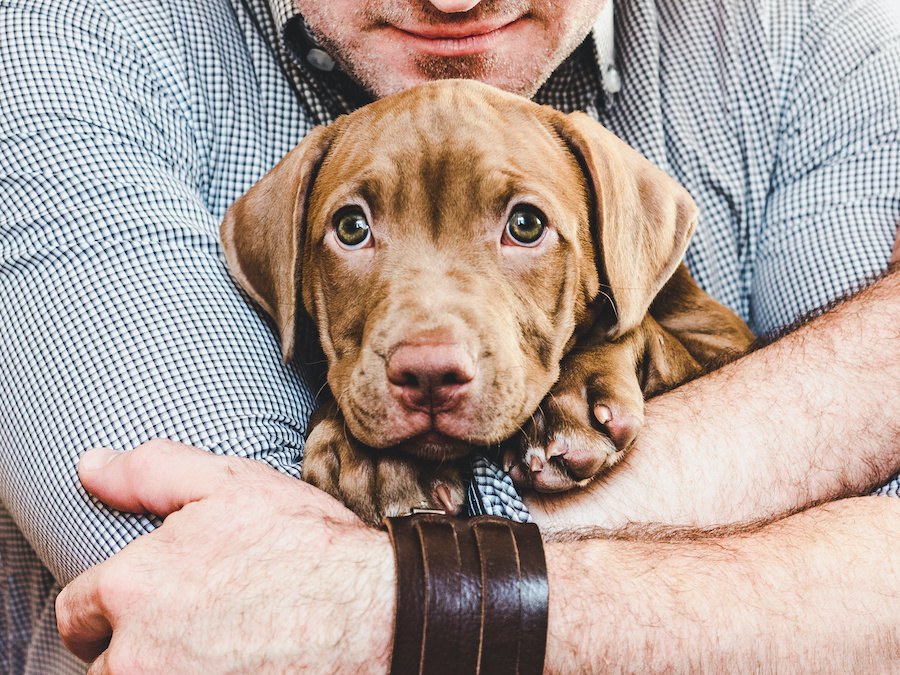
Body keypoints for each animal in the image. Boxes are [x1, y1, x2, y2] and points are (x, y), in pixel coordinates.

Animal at [221, 80, 756, 528]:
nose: (429, 373)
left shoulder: (718, 336)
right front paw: (373, 457)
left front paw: (571, 401)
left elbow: (641, 329)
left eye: (526, 225)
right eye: (352, 228)